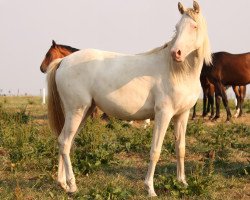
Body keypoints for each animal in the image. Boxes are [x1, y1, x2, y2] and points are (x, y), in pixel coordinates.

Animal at [45, 1, 211, 197]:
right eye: (177, 28)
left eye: (194, 26)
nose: (175, 53)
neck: (178, 72)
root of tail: (63, 61)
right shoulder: (163, 114)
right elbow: (155, 150)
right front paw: (150, 188)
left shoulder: (182, 115)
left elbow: (181, 148)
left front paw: (182, 183)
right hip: (76, 111)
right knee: (64, 142)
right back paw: (72, 186)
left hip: (83, 112)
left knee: (66, 141)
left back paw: (63, 184)